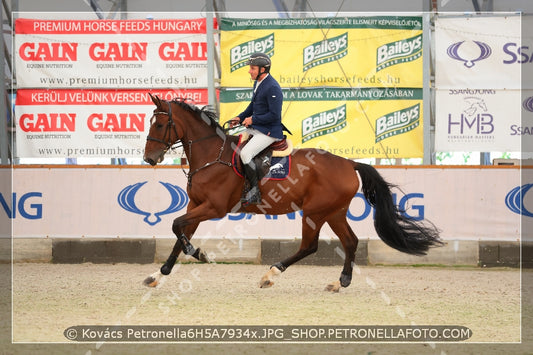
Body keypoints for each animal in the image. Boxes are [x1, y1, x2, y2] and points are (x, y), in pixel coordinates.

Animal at [140, 94, 440, 292]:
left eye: (159, 125)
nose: (149, 159)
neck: (211, 155)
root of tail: (348, 163)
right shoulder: (196, 205)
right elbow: (179, 233)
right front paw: (158, 274)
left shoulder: (214, 207)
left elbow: (176, 226)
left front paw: (197, 252)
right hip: (334, 212)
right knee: (351, 241)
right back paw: (340, 281)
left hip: (315, 212)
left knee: (310, 245)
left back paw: (271, 274)